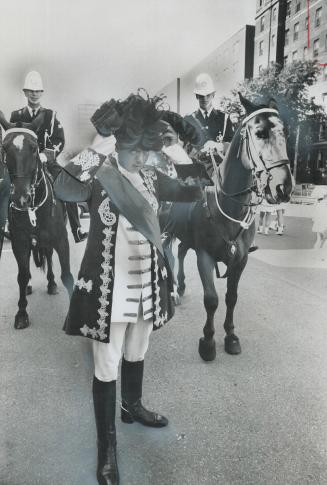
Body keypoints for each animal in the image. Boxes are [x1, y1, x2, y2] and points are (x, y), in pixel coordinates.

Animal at [0, 111, 73, 328]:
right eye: (4, 148)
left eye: (34, 148)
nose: (21, 198)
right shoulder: (20, 243)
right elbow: (22, 276)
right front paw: (21, 313)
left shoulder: (61, 240)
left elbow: (67, 275)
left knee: (48, 255)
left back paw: (51, 283)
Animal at [164, 94, 294, 360]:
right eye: (260, 133)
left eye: (285, 132)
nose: (283, 188)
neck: (228, 204)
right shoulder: (204, 256)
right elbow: (211, 299)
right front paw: (208, 341)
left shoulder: (240, 259)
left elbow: (231, 297)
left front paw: (231, 335)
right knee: (167, 253)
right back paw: (171, 291)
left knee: (180, 251)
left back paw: (180, 286)